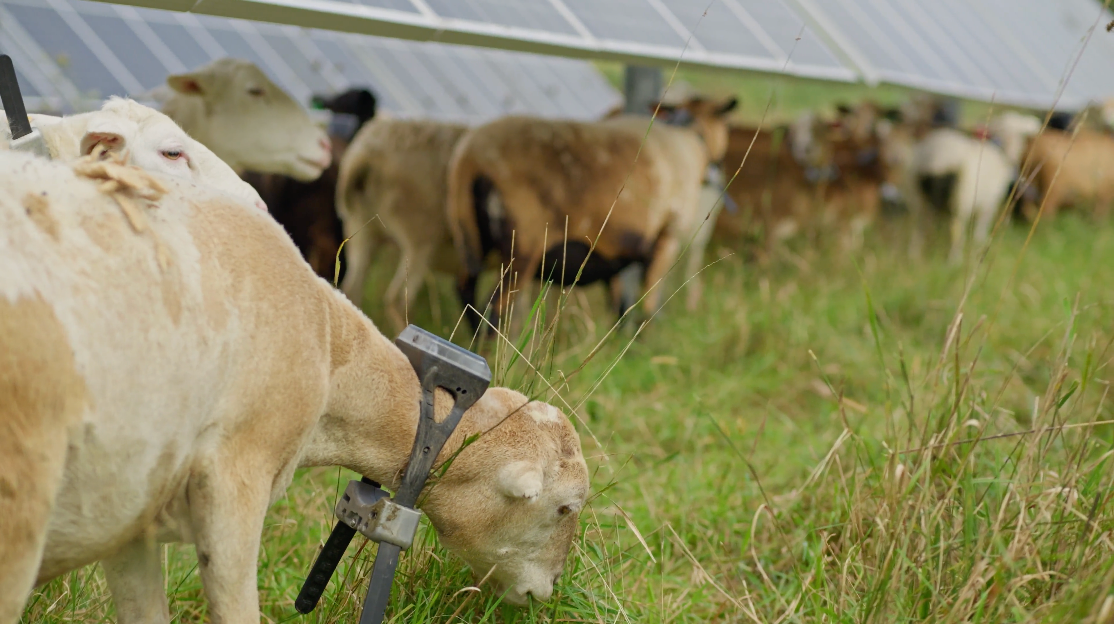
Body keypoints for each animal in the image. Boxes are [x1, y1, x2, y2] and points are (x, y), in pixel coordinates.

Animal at [446, 96, 737, 331]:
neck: (689, 137)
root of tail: (472, 158)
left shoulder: (612, 250)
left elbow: (619, 304)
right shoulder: (666, 238)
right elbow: (647, 304)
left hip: (469, 235)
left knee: (465, 291)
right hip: (523, 247)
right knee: (494, 308)